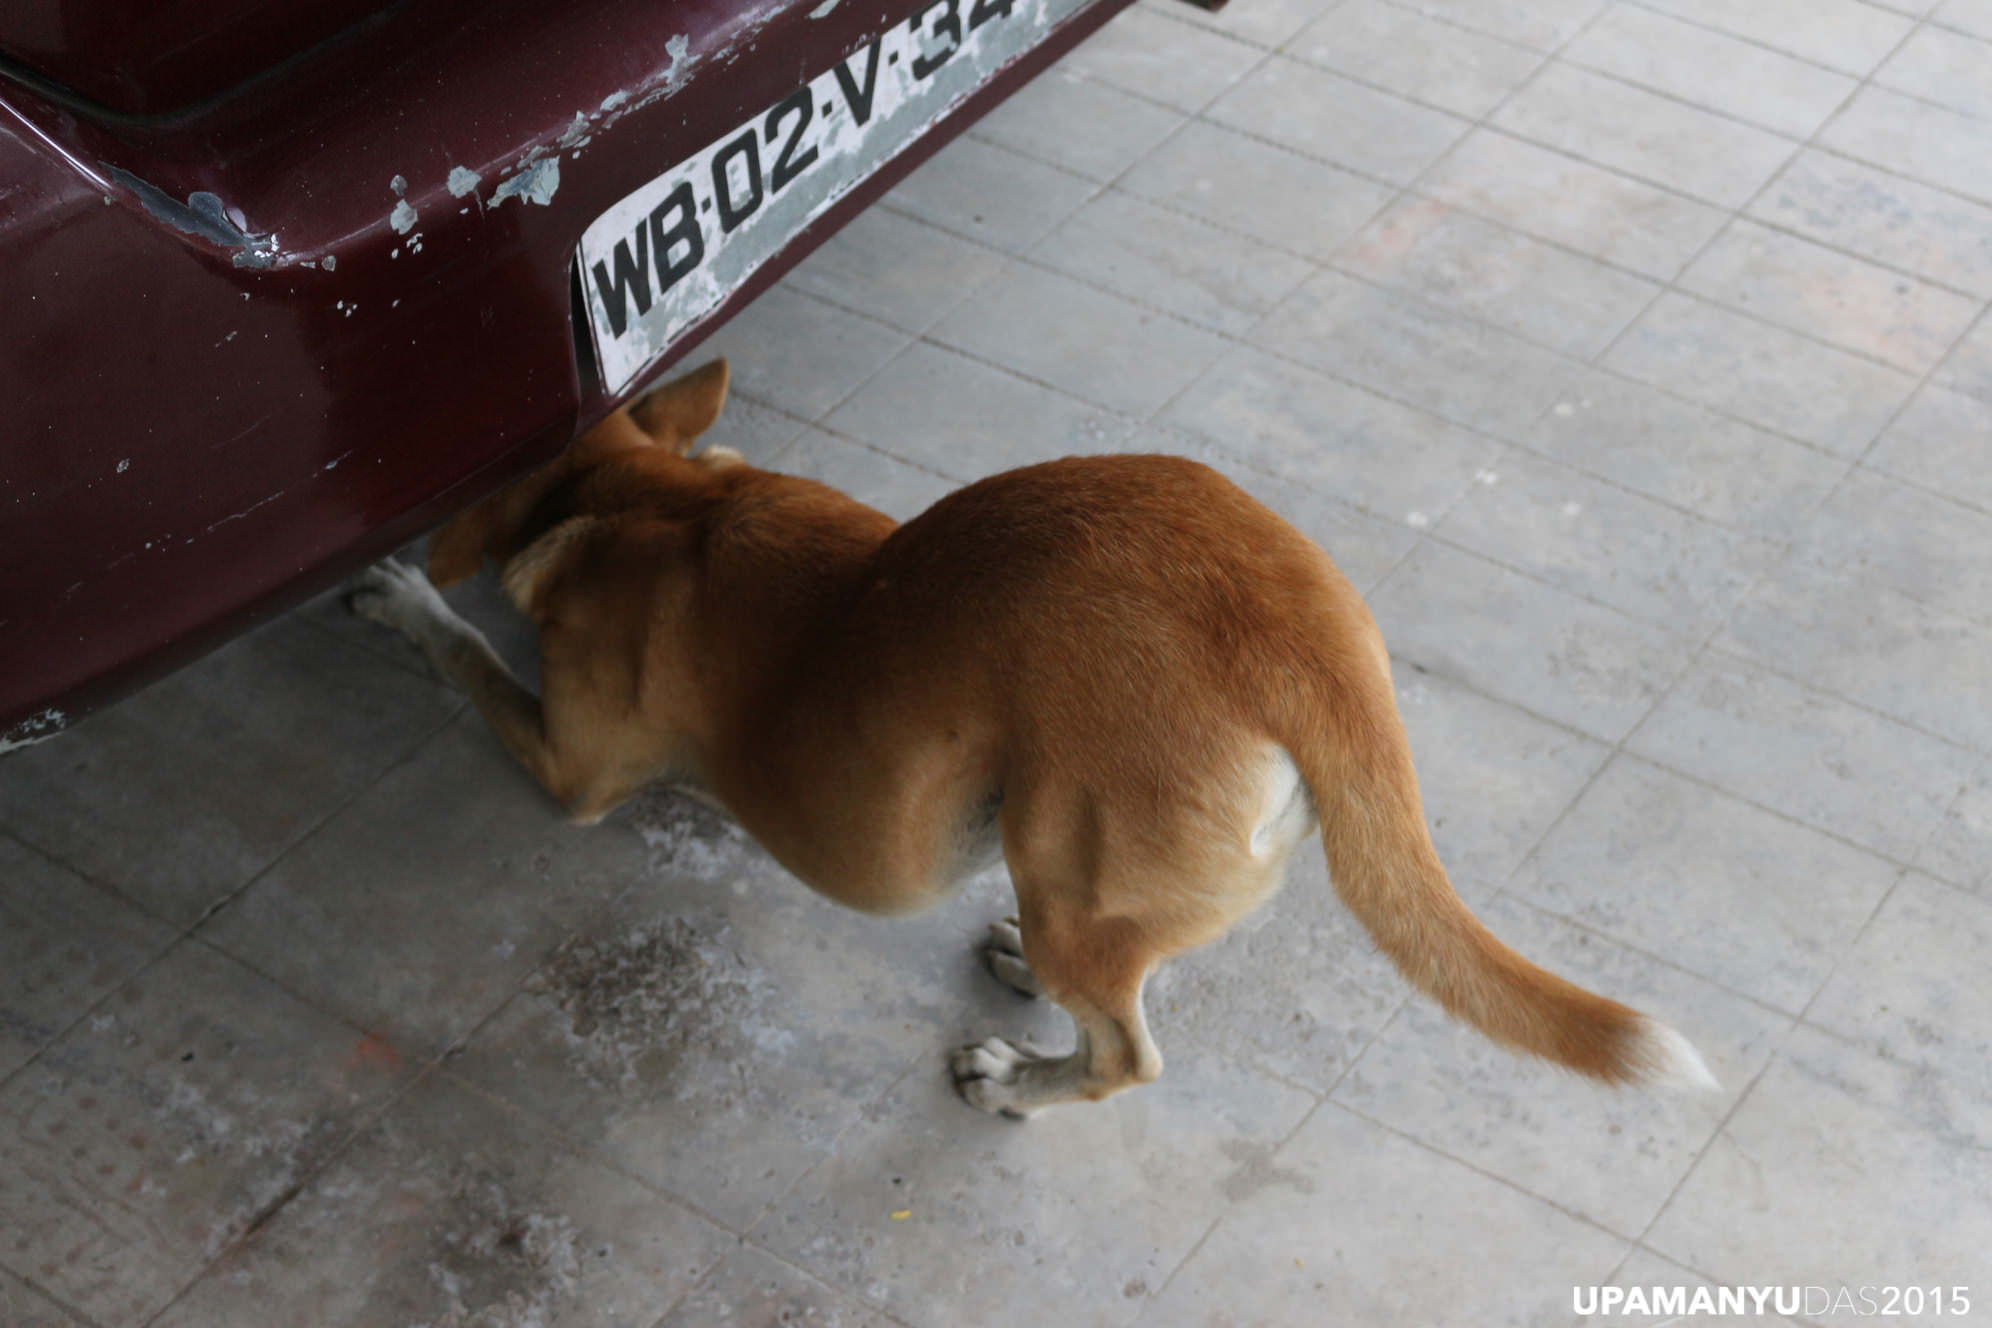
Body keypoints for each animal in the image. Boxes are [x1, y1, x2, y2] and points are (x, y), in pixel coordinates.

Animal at [342, 358, 1713, 1114]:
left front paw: (403, 599)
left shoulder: (569, 764)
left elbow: (469, 657)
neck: (649, 499)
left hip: (1073, 852)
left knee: (1128, 1052)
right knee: (1129, 974)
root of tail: (1294, 632)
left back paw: (1020, 1079)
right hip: (1087, 875)